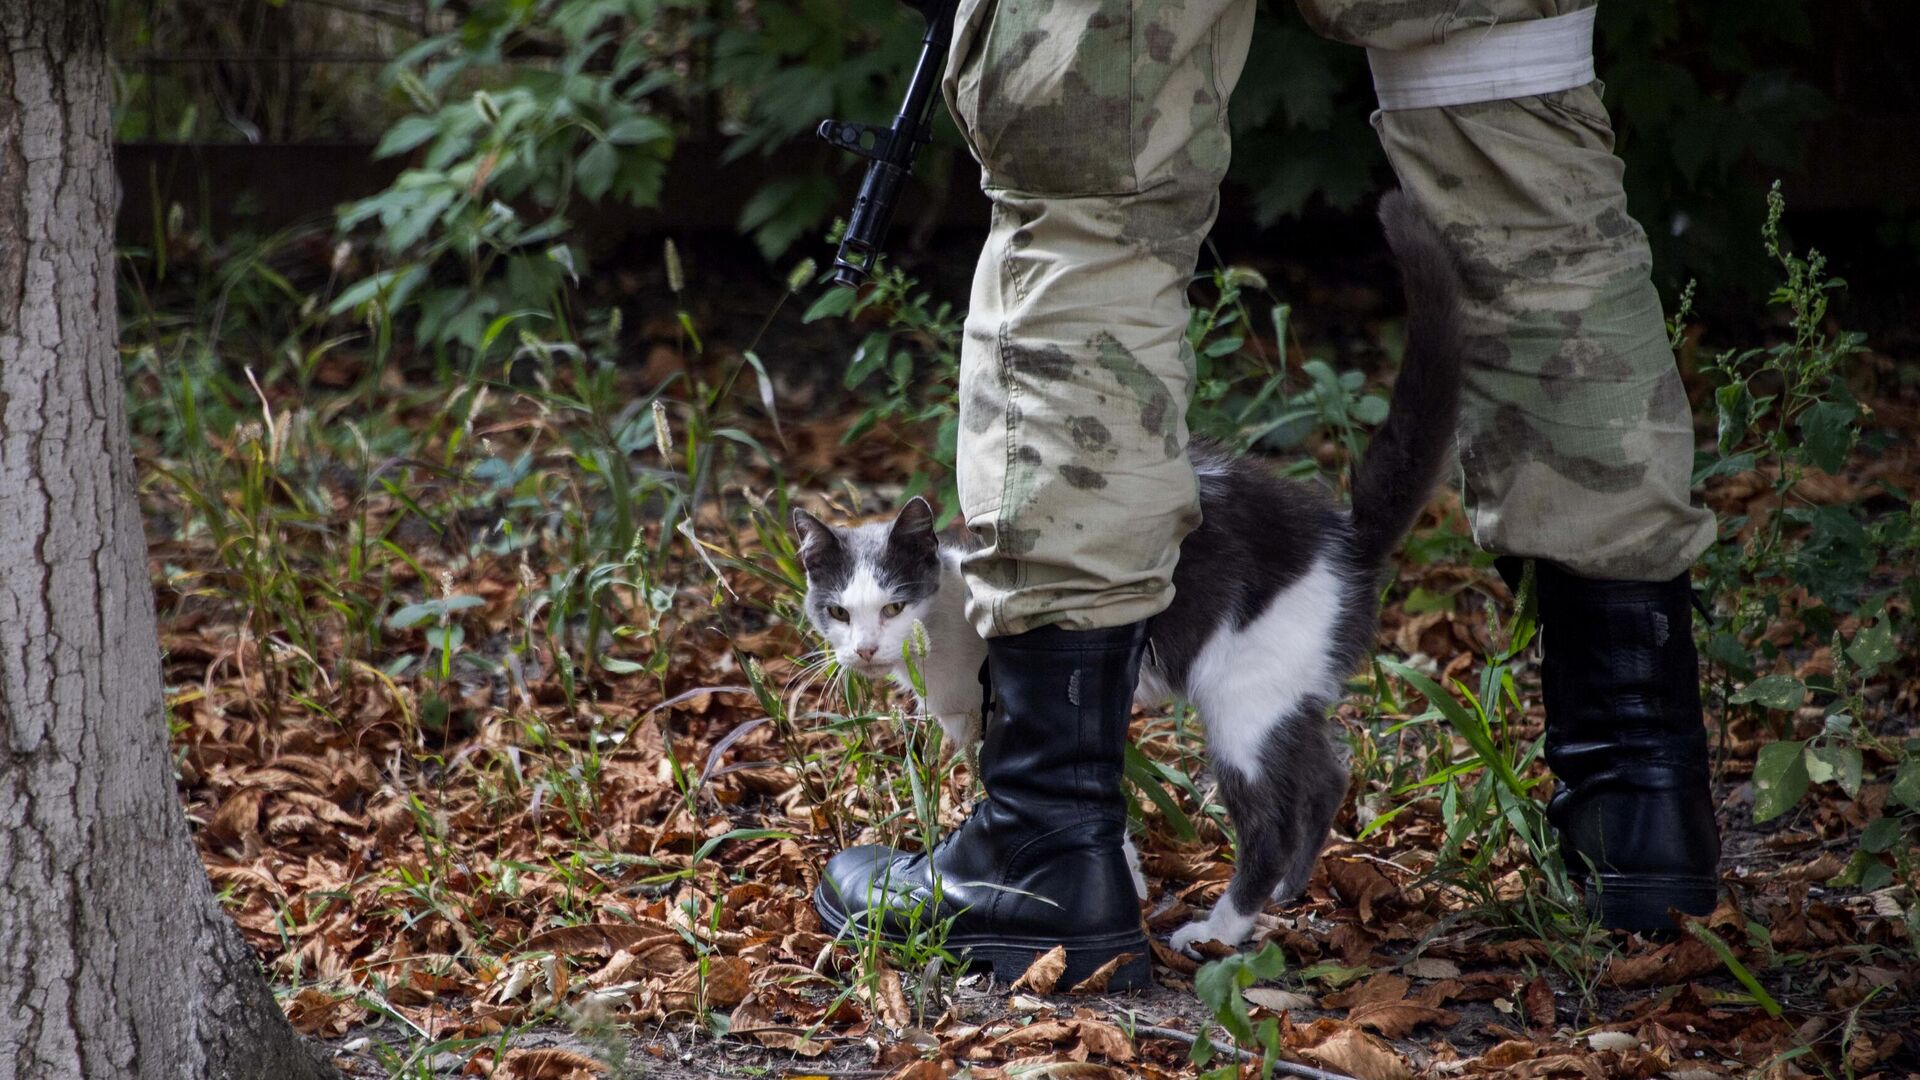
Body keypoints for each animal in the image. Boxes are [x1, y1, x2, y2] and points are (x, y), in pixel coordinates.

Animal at [787, 193, 1459, 949]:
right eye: (838, 611)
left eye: (894, 606)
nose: (866, 650)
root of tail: (1344, 538)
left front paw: (1111, 890)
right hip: (1290, 689)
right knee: (1326, 779)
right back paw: (1290, 888)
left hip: (1240, 695)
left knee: (1269, 818)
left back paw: (1221, 929)